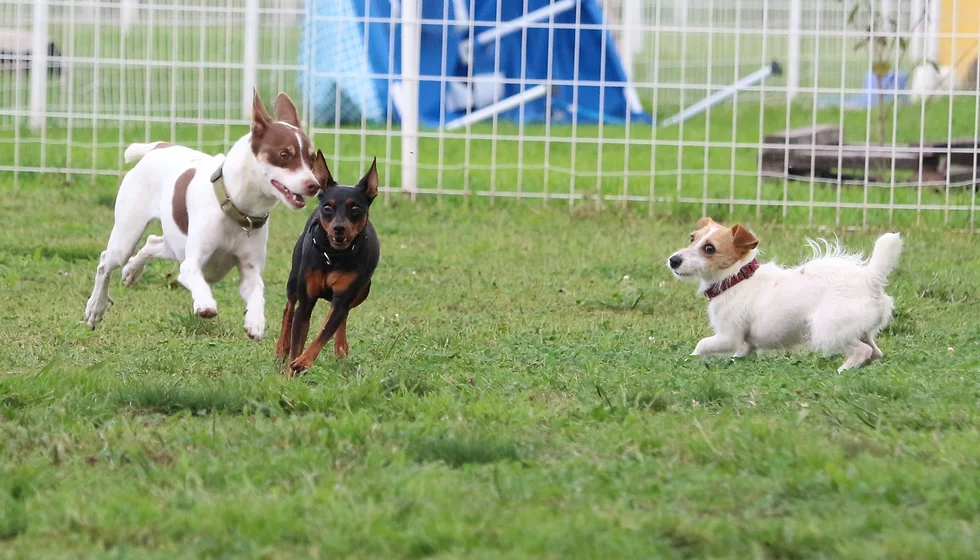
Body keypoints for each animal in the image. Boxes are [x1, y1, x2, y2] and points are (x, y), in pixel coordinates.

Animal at [83, 89, 318, 340]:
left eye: (312, 158)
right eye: (284, 154)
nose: (313, 185)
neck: (237, 208)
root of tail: (158, 147)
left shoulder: (249, 271)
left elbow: (257, 293)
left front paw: (255, 321)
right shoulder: (190, 264)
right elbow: (196, 279)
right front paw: (205, 304)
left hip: (175, 244)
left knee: (152, 242)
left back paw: (131, 271)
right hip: (127, 237)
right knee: (105, 263)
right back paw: (95, 307)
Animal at [280, 151, 382, 374]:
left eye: (355, 208)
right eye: (328, 207)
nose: (339, 228)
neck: (334, 256)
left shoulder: (344, 297)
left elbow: (324, 332)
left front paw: (303, 361)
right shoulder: (306, 302)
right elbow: (297, 338)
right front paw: (289, 372)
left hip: (363, 291)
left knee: (339, 316)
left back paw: (340, 348)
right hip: (294, 279)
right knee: (289, 307)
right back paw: (281, 347)